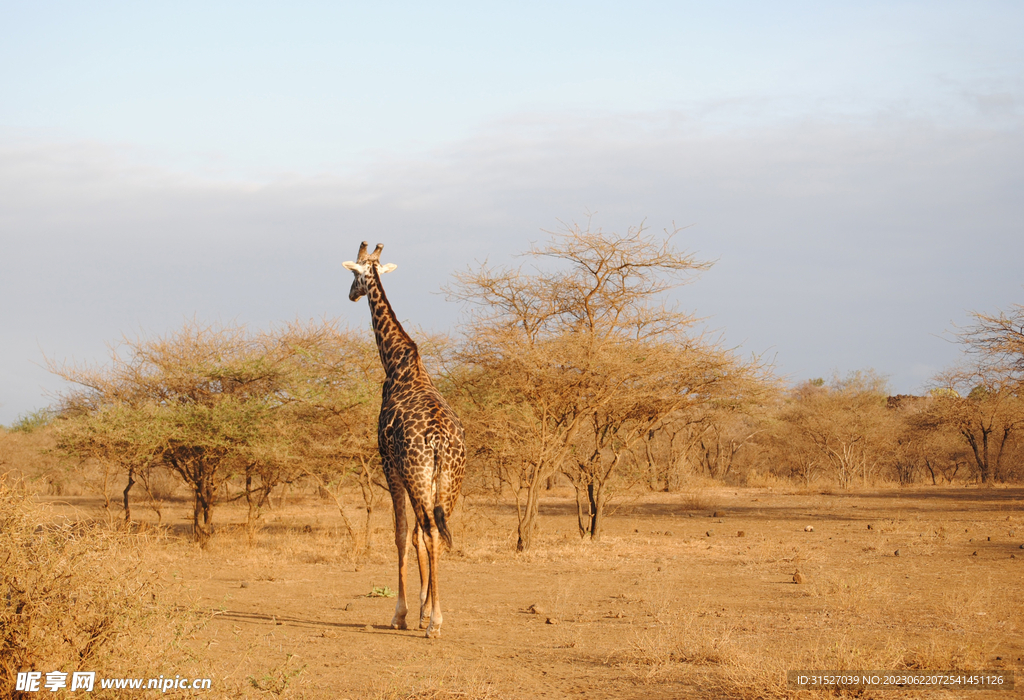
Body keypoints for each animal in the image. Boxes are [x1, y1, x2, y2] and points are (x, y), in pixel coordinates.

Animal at [344, 241, 468, 638]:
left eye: (354, 275)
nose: (351, 295)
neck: (397, 362)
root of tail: (440, 441)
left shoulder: (389, 464)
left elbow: (400, 534)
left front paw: (402, 613)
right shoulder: (417, 477)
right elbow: (414, 535)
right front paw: (421, 608)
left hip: (417, 473)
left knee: (428, 532)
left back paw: (435, 623)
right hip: (449, 481)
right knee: (437, 532)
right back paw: (433, 616)